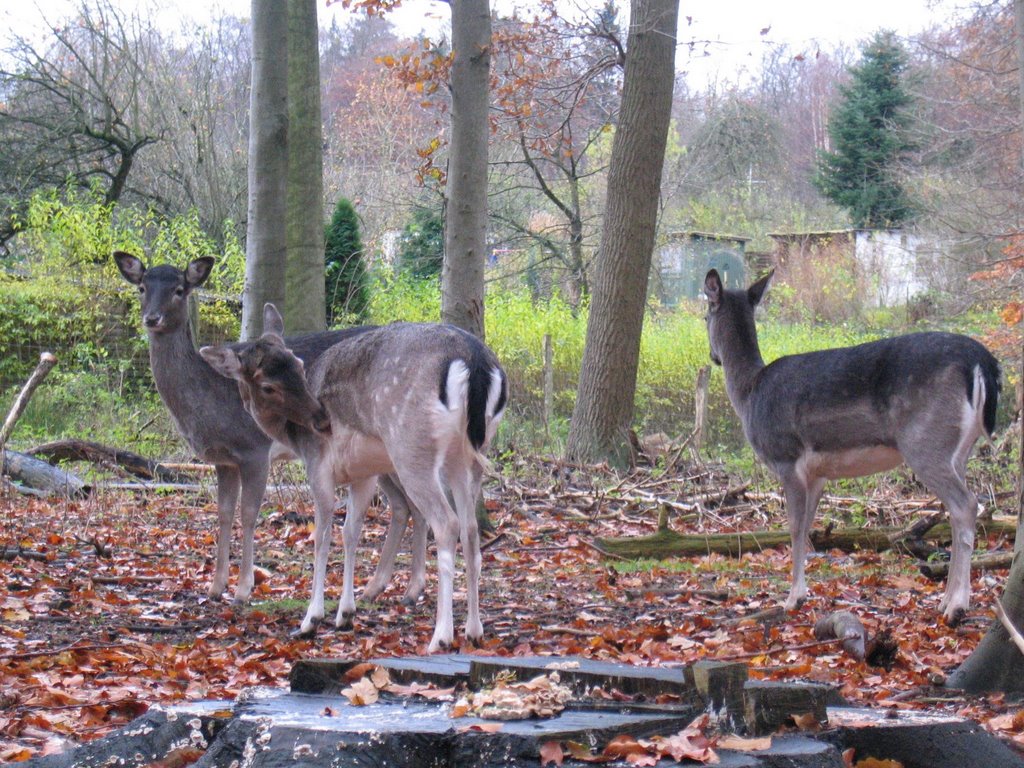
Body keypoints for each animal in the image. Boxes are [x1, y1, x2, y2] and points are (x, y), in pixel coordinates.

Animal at [115, 256, 428, 610]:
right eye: (142, 287)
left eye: (180, 289)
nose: (152, 318)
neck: (208, 399)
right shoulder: (222, 459)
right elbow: (223, 513)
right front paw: (215, 587)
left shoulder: (254, 449)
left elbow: (249, 513)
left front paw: (243, 589)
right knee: (403, 505)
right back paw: (376, 588)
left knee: (416, 504)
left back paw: (411, 589)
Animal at [197, 303, 505, 651]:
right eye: (269, 385)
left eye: (298, 366)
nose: (321, 420)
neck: (291, 435)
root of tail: (475, 361)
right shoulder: (363, 473)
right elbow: (350, 532)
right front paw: (345, 613)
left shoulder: (318, 465)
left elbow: (322, 536)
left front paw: (311, 619)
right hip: (468, 454)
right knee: (470, 528)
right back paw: (474, 630)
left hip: (411, 448)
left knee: (447, 523)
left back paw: (441, 635)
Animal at [704, 270, 999, 626]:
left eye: (704, 315)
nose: (713, 357)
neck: (749, 394)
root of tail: (981, 361)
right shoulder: (817, 475)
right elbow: (808, 527)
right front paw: (801, 592)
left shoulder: (786, 457)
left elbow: (793, 527)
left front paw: (792, 598)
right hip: (960, 449)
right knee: (960, 508)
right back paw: (945, 601)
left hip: (925, 442)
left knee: (966, 504)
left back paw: (957, 606)